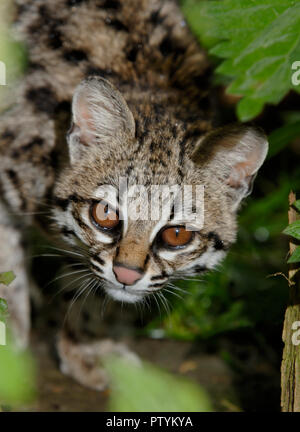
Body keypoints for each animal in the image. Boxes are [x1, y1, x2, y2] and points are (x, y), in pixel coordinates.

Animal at [0, 0, 268, 392]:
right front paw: (7, 335)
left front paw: (88, 344)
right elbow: (7, 257)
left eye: (177, 234)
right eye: (105, 214)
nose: (126, 275)